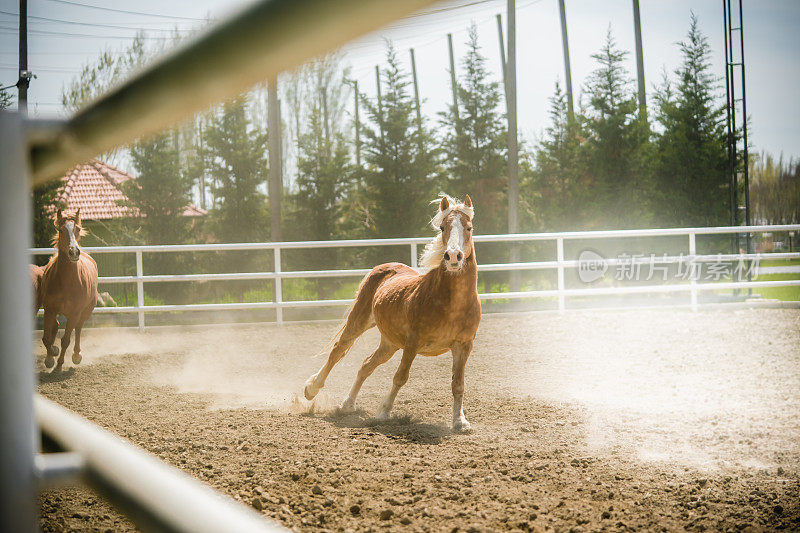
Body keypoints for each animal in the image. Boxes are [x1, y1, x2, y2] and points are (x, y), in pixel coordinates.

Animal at [40, 209, 99, 370]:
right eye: (61, 230)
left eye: (77, 229)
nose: (74, 252)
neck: (66, 281)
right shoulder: (49, 310)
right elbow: (46, 338)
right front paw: (50, 357)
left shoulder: (74, 313)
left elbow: (66, 339)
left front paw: (59, 364)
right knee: (55, 327)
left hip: (85, 312)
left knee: (78, 329)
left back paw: (76, 355)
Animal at [304, 193, 482, 430]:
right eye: (443, 227)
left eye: (469, 227)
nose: (453, 257)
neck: (452, 303)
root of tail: (383, 268)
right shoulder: (413, 342)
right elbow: (401, 377)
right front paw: (384, 411)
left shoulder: (464, 345)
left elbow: (458, 384)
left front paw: (460, 422)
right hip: (359, 322)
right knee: (338, 351)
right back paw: (311, 389)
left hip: (390, 343)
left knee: (366, 365)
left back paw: (347, 404)